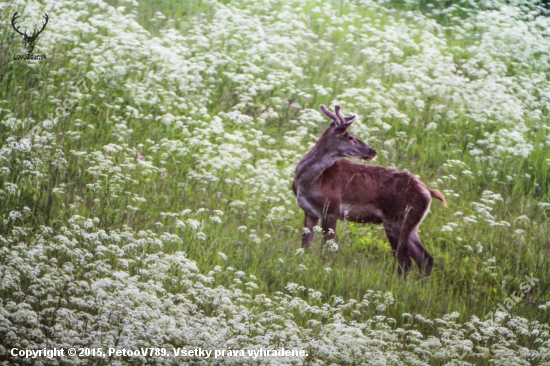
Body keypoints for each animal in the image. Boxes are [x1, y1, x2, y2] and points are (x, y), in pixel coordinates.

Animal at [292, 103, 446, 274]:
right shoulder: (310, 212)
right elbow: (305, 247)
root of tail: (429, 192)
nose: (372, 151)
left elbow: (327, 250)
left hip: (398, 221)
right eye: (350, 137)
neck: (311, 181)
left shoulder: (332, 208)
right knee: (425, 259)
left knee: (405, 261)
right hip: (410, 226)